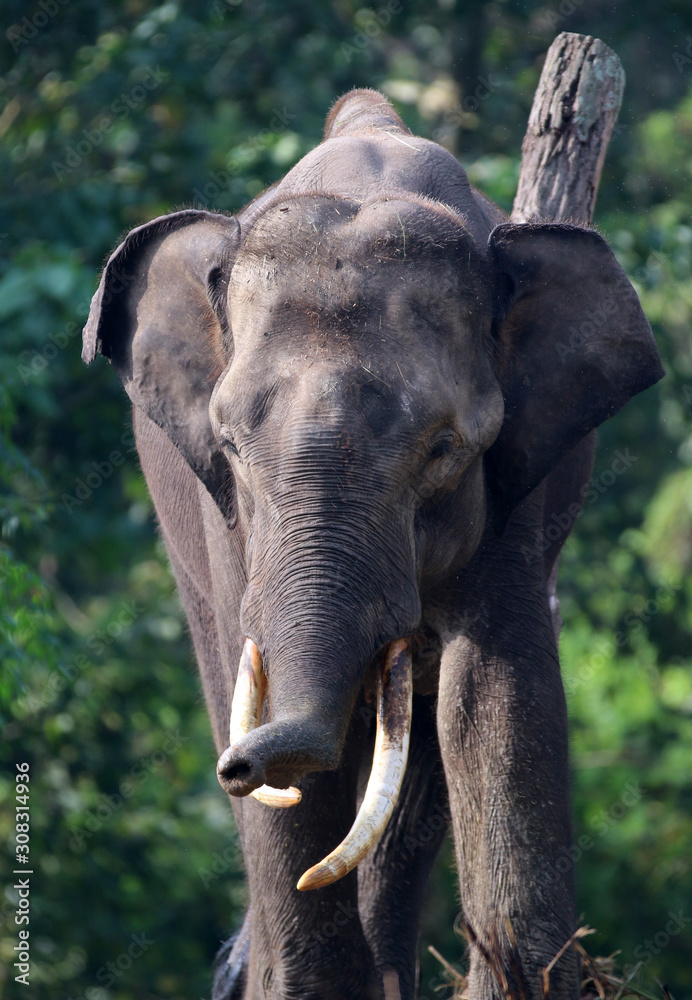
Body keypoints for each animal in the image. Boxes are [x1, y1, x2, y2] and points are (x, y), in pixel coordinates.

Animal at [82, 88, 663, 999]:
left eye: (445, 448)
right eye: (230, 445)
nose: (238, 769)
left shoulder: (515, 495)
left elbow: (488, 695)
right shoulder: (225, 522)